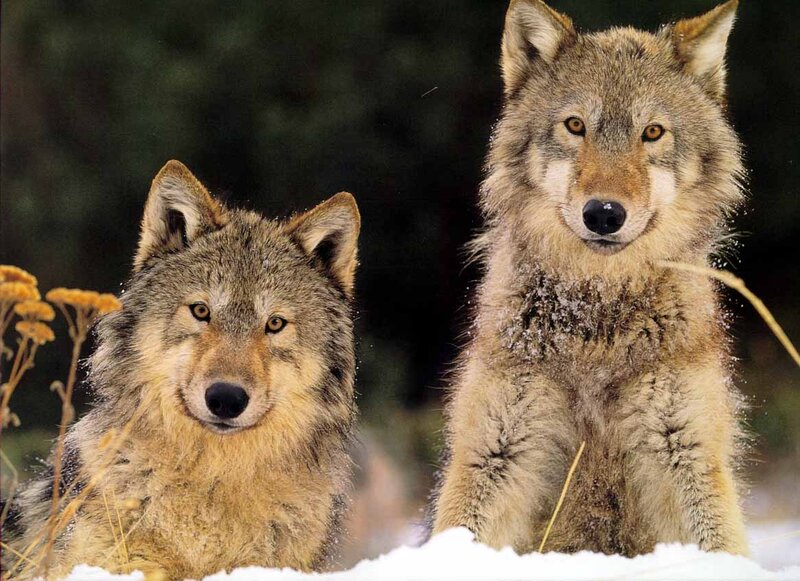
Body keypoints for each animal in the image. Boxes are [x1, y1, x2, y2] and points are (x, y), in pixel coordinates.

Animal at [432, 0, 749, 557]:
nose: (604, 214)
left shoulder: (684, 451)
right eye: (575, 125)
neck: (597, 319)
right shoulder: (496, 451)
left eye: (653, 132)